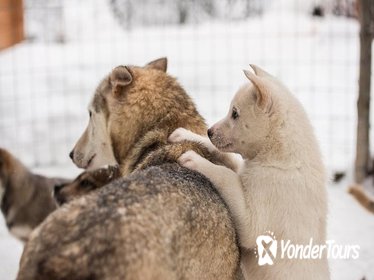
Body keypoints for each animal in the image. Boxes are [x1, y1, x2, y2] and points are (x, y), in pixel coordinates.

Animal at [169, 64, 330, 278]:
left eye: (235, 113)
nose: (209, 132)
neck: (280, 156)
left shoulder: (252, 221)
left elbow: (225, 175)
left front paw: (195, 159)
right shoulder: (242, 168)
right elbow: (224, 157)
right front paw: (187, 135)